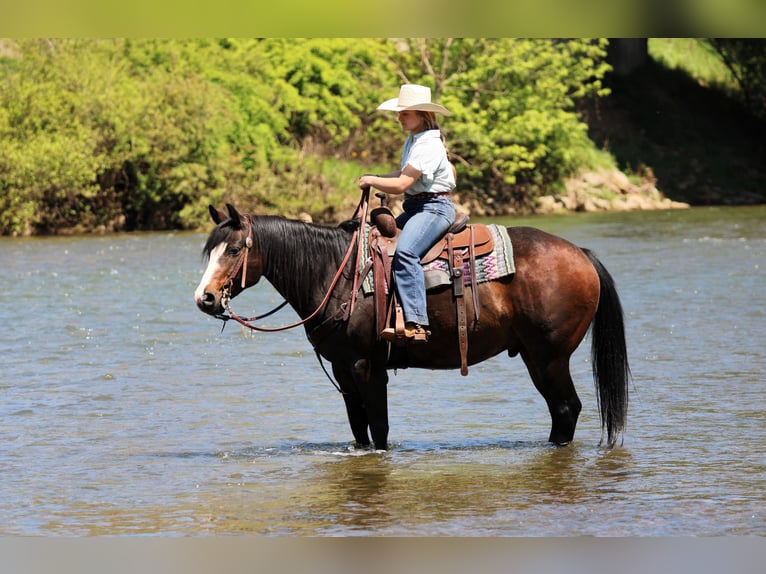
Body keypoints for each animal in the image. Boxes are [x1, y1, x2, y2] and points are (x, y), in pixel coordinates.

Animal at [194, 202, 630, 450]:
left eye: (234, 249)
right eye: (209, 250)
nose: (205, 298)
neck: (338, 273)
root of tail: (581, 254)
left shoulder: (367, 367)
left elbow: (380, 429)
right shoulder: (342, 368)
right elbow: (360, 430)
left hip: (549, 357)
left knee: (566, 409)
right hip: (536, 357)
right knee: (561, 412)